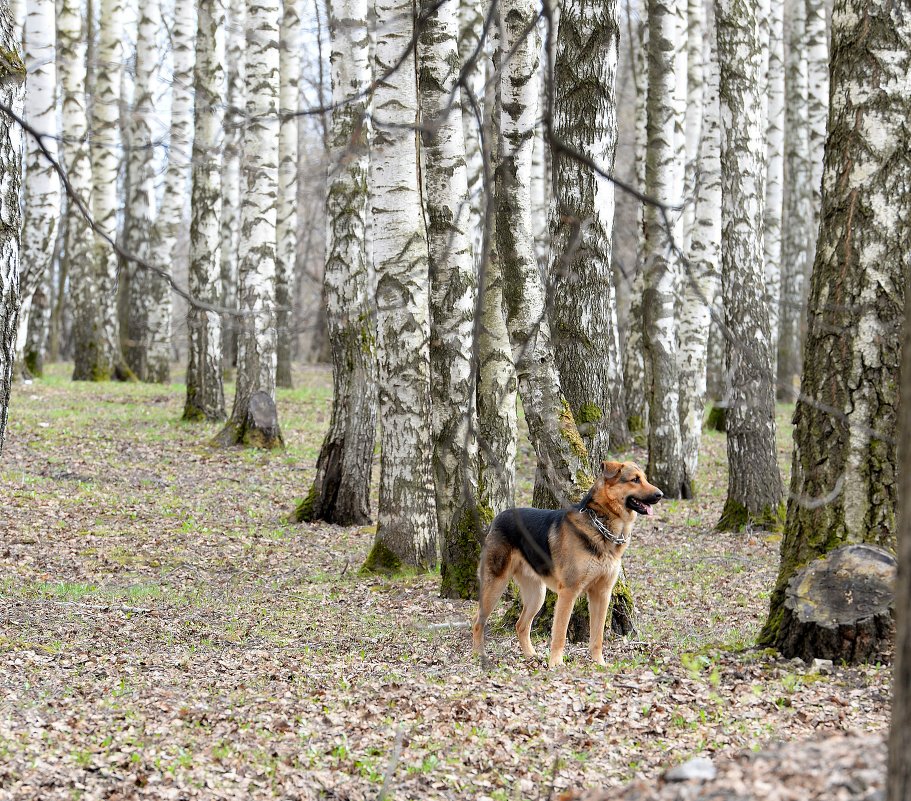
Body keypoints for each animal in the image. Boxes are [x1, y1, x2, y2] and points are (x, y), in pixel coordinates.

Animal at [470, 460, 664, 664]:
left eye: (645, 479)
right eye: (635, 479)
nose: (660, 495)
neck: (601, 524)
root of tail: (498, 517)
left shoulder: (602, 593)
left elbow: (597, 636)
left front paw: (599, 663)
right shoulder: (568, 593)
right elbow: (560, 633)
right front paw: (556, 663)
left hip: (537, 595)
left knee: (520, 625)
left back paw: (531, 655)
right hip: (495, 586)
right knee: (477, 622)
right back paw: (478, 654)